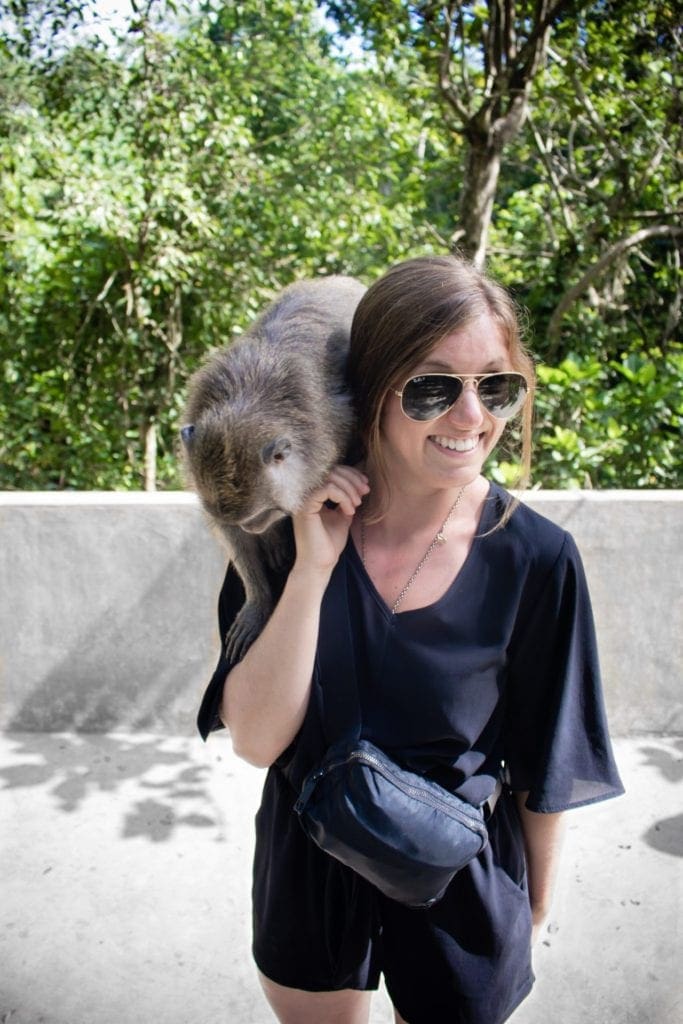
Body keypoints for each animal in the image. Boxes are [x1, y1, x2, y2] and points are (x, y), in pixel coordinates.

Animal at [179, 276, 366, 663]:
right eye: (243, 521)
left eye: (258, 514)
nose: (252, 528)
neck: (247, 403)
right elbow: (229, 535)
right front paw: (259, 602)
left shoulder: (335, 427)